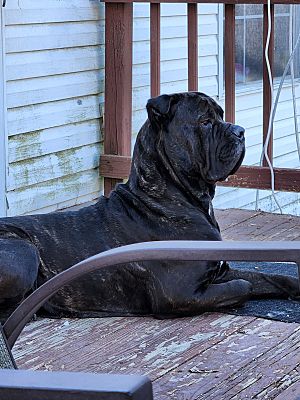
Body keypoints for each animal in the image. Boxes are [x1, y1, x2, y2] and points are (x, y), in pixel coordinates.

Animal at [0, 92, 298, 320]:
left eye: (222, 115)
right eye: (205, 121)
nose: (240, 131)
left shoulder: (220, 269)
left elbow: (274, 278)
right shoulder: (180, 293)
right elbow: (244, 286)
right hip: (25, 250)